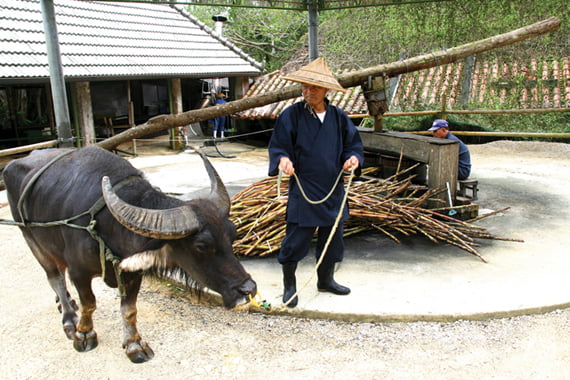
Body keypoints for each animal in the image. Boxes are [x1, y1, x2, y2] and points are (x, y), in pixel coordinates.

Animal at [3, 145, 256, 362]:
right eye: (201, 246)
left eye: (232, 234)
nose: (249, 289)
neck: (105, 224)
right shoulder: (79, 272)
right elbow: (89, 304)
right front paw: (84, 335)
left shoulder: (133, 273)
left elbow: (129, 310)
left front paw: (134, 345)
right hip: (32, 241)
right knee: (54, 277)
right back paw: (68, 318)